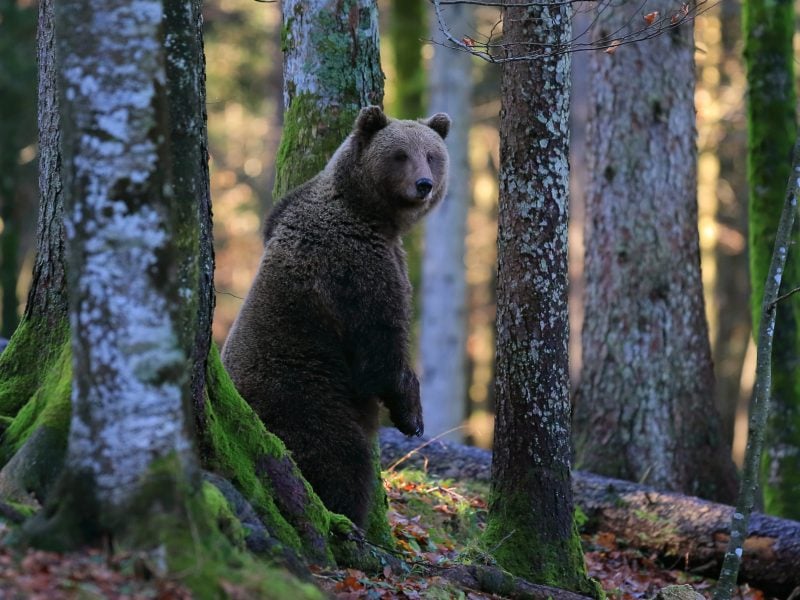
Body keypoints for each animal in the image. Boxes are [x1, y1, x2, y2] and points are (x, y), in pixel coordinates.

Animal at [222, 105, 450, 528]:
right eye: (401, 155)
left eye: (432, 155)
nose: (424, 185)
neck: (369, 213)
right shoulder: (354, 265)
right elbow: (380, 344)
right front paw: (412, 415)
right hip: (303, 393)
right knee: (340, 456)